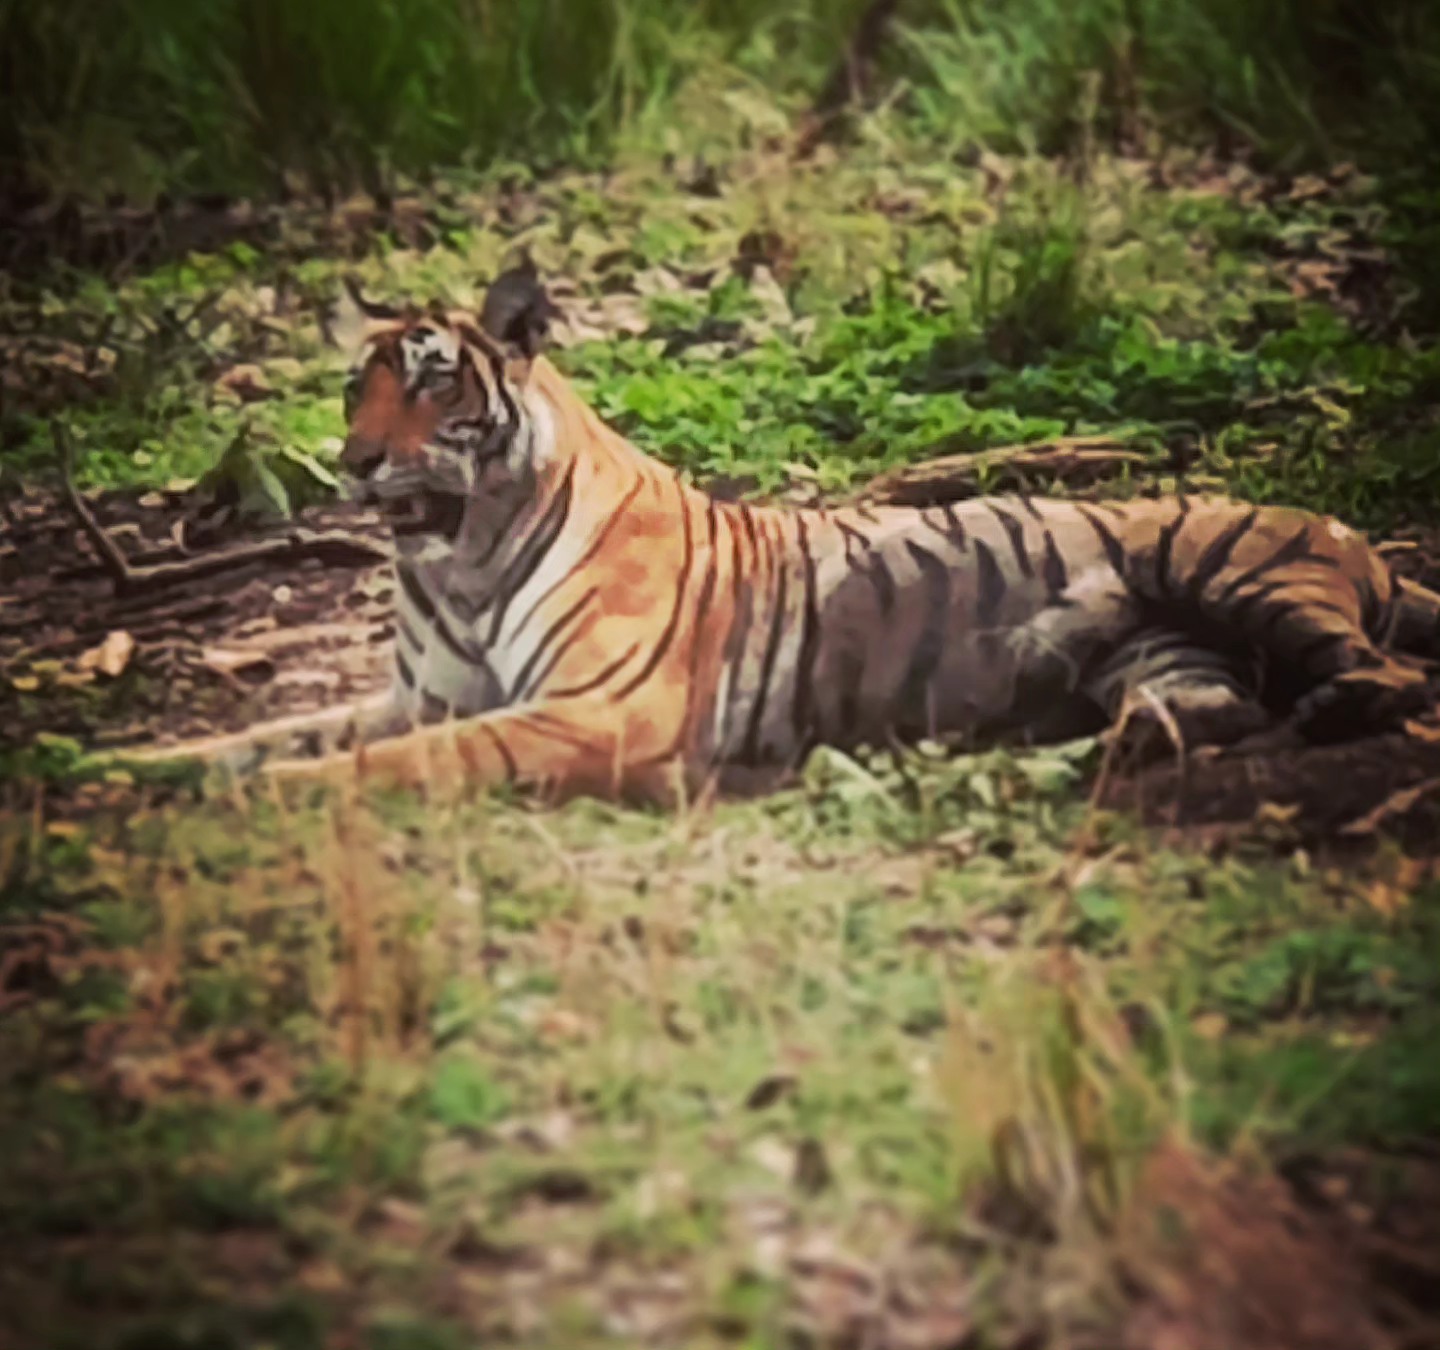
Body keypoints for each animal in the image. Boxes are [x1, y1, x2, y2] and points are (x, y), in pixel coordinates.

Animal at [129, 265, 1440, 807]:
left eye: (433, 379)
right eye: (354, 388)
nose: (353, 462)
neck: (462, 560)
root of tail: (1356, 535)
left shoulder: (599, 710)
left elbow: (416, 760)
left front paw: (286, 798)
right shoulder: (419, 693)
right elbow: (267, 733)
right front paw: (135, 770)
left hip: (1220, 562)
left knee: (1385, 678)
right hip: (1157, 658)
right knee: (1205, 713)